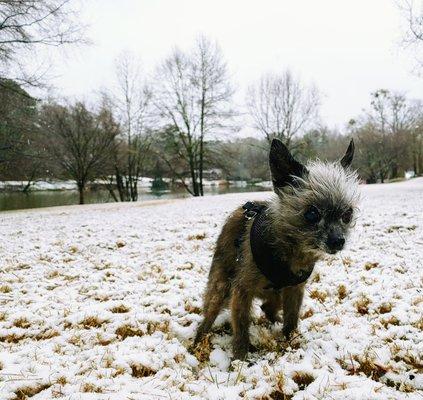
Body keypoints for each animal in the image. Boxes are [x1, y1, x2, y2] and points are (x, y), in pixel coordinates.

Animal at [195, 138, 362, 360]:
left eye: (347, 214)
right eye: (311, 214)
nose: (338, 241)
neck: (291, 249)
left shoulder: (294, 290)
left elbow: (291, 319)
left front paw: (291, 341)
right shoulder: (241, 292)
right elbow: (241, 328)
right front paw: (239, 359)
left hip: (275, 295)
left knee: (268, 306)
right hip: (220, 288)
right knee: (207, 317)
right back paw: (198, 342)